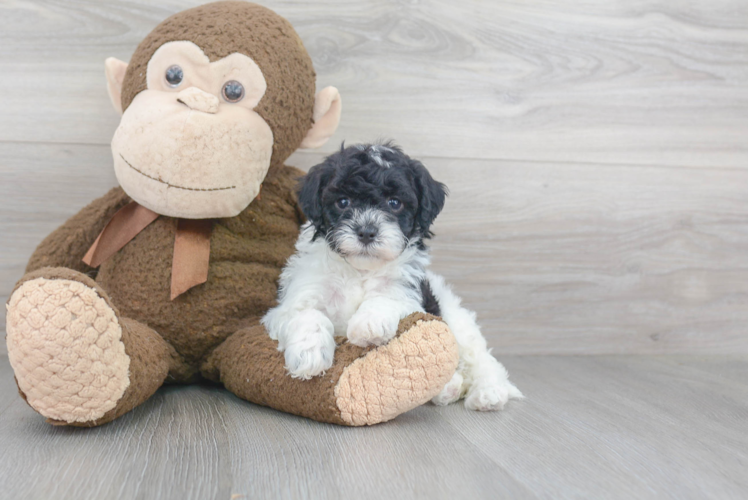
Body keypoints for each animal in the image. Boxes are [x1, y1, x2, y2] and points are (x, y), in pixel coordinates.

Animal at [266, 143, 524, 412]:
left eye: (394, 202)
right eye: (343, 202)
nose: (366, 232)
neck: (360, 269)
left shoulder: (409, 295)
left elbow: (385, 298)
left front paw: (368, 324)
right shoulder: (293, 300)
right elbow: (307, 315)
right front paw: (309, 355)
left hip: (456, 319)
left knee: (481, 358)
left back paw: (487, 393)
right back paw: (448, 388)